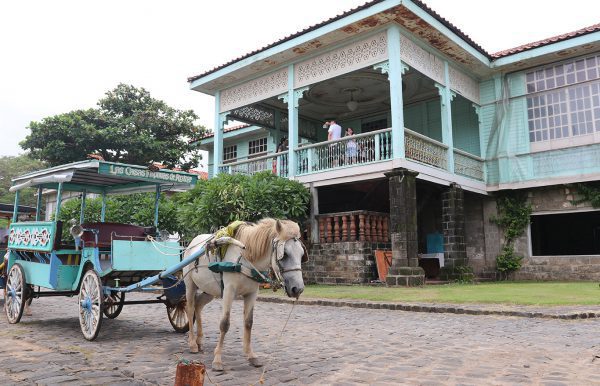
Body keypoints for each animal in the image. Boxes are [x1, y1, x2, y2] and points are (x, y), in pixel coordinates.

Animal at [182, 217, 304, 370]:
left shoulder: (252, 293)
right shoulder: (228, 290)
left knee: (198, 306)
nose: (298, 289)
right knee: (190, 308)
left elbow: (248, 323)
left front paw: (251, 355)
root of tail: (191, 244)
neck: (245, 258)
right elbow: (224, 324)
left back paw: (199, 340)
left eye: (302, 254)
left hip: (208, 290)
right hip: (190, 286)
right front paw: (217, 360)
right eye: (285, 254)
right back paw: (192, 343)